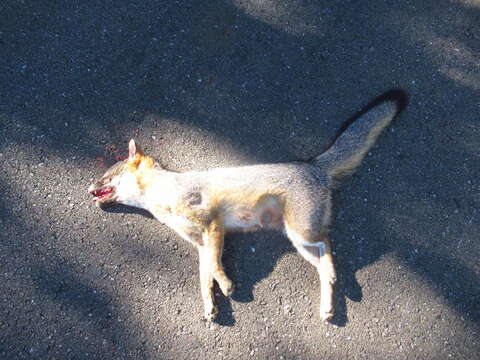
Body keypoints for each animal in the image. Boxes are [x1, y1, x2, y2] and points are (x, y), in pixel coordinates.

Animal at [88, 91, 404, 322]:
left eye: (106, 176)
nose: (89, 188)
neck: (165, 194)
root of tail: (312, 164)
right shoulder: (200, 243)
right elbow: (204, 276)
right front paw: (211, 304)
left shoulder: (212, 225)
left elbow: (215, 266)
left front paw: (227, 286)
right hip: (299, 241)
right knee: (324, 261)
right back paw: (327, 305)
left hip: (301, 233)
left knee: (328, 244)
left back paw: (335, 278)